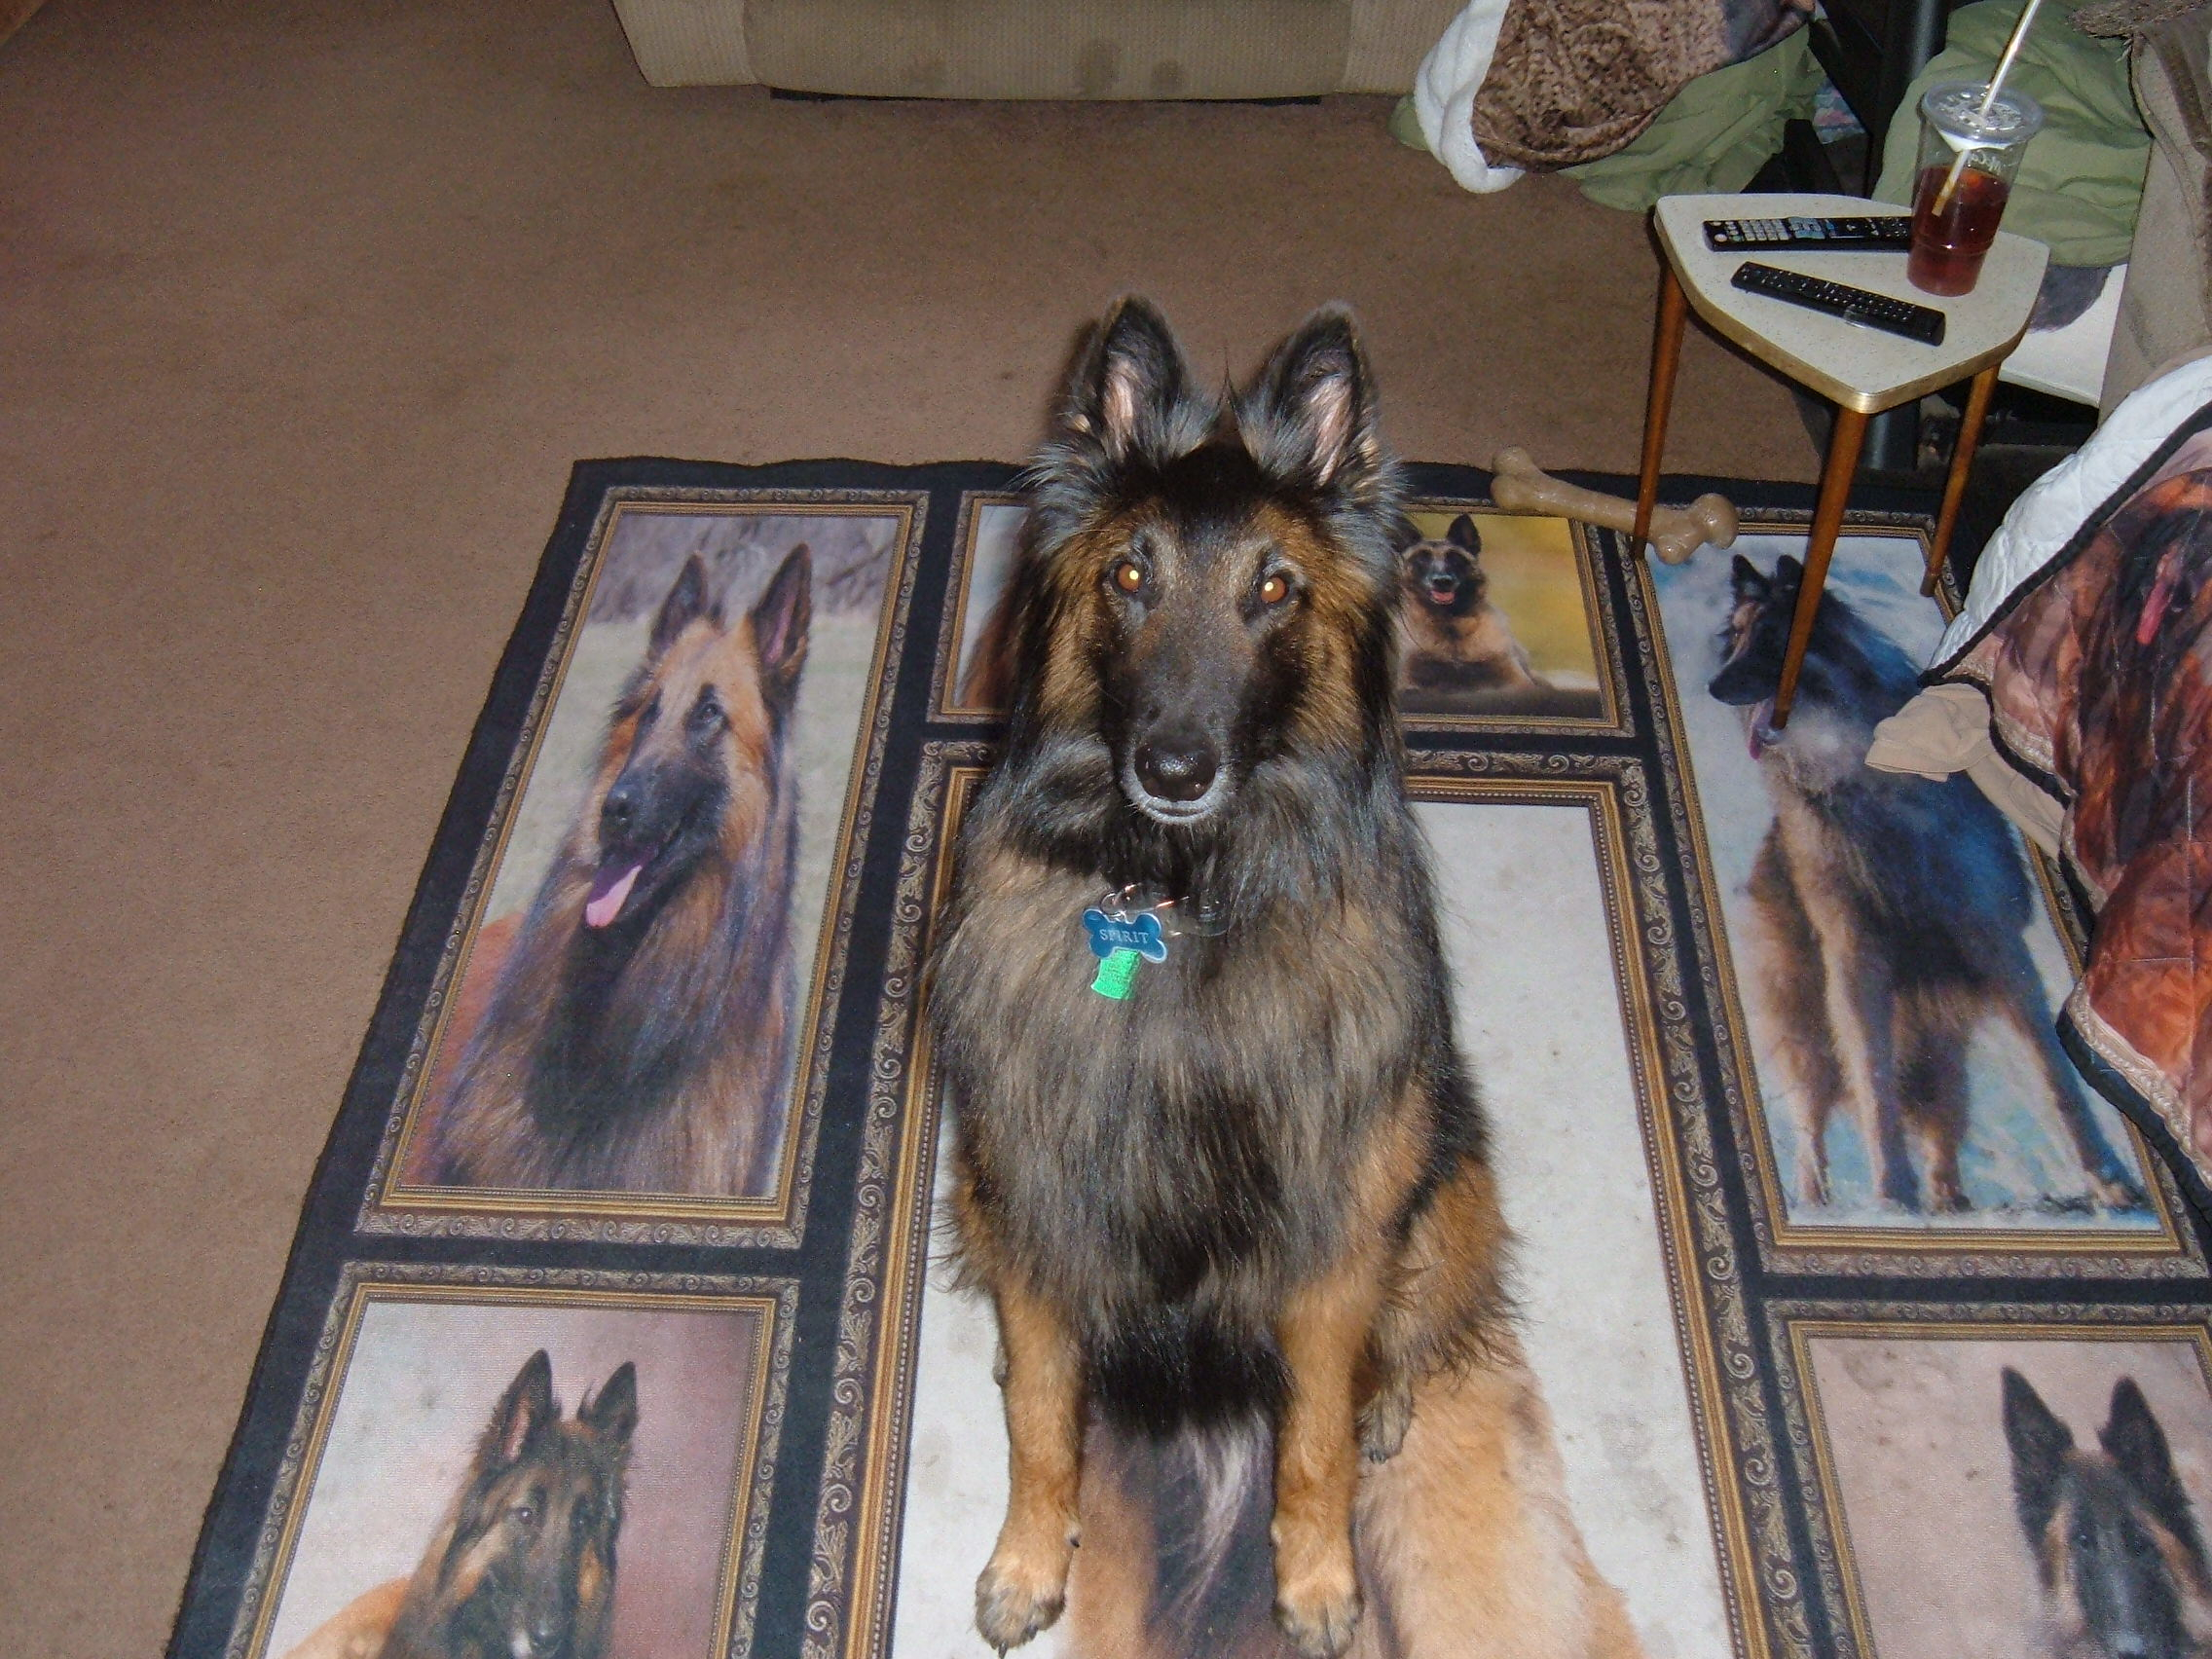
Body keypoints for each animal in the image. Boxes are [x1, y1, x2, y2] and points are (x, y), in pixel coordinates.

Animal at [927, 298, 1641, 1659]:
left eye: (1273, 589)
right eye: (1130, 576)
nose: (1173, 767)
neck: (1177, 903)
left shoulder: (1332, 1231)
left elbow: (1308, 1442)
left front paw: (1316, 1585)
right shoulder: (1039, 1184)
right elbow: (1043, 1421)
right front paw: (1027, 1559)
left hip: (1443, 1171)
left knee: (1412, 1326)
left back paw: (1386, 1398)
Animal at [1711, 553, 2142, 1214]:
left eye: (1771, 638)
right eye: (1733, 639)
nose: (1713, 686)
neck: (1857, 775)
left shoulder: (1997, 946)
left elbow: (2055, 1076)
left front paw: (2109, 1179)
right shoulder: (1854, 958)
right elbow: (1873, 1085)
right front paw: (1892, 1194)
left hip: (1941, 1045)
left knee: (1942, 1123)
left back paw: (1949, 1201)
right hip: (1809, 1025)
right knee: (1814, 1125)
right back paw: (1820, 1201)